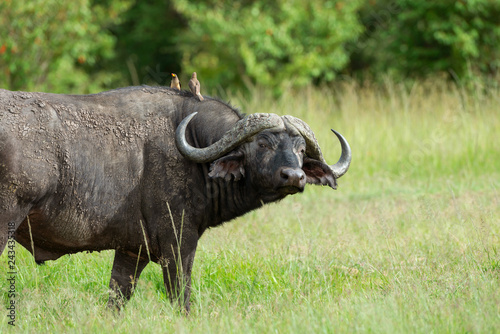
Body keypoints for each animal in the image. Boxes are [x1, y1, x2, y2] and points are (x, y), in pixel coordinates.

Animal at [0, 85, 352, 310]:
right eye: (263, 144)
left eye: (301, 149)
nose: (294, 176)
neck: (195, 152)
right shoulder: (178, 245)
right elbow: (180, 299)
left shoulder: (131, 251)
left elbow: (116, 300)